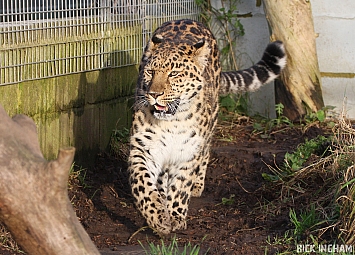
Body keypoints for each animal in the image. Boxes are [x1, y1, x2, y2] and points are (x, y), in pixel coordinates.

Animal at [128, 18, 286, 234]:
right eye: (150, 72)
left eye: (174, 74)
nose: (154, 94)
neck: (173, 122)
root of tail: (188, 19)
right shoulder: (144, 148)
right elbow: (143, 184)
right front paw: (158, 217)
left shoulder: (187, 152)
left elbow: (180, 186)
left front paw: (175, 216)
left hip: (210, 126)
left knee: (205, 153)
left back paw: (196, 185)